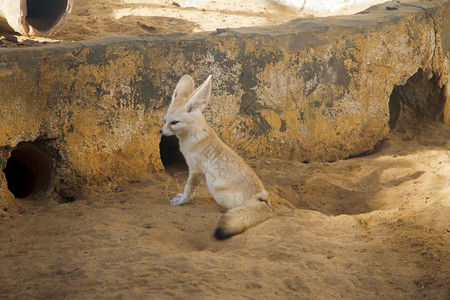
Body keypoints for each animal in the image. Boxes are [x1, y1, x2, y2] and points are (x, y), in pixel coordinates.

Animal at [160, 74, 276, 239]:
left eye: (174, 122)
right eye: (165, 121)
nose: (161, 131)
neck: (192, 136)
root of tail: (263, 198)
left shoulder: (196, 170)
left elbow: (189, 189)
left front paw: (182, 201)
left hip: (217, 191)